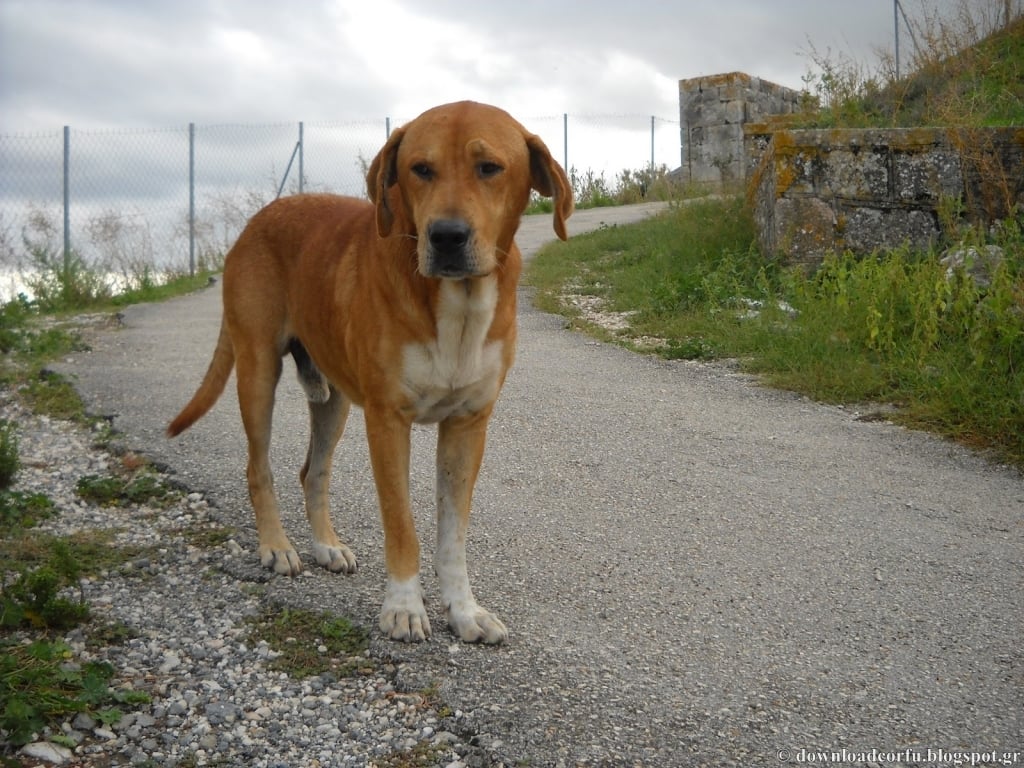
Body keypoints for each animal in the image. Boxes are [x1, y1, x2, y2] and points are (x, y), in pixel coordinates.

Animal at [163, 102, 573, 643]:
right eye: (421, 169)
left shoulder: (468, 425)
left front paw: (464, 610)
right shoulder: (387, 420)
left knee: (312, 471)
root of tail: (257, 219)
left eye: (489, 168)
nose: (446, 236)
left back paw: (325, 545)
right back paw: (277, 546)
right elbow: (402, 525)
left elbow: (453, 536)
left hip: (332, 399)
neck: (457, 305)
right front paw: (403, 607)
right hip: (257, 371)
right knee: (259, 468)